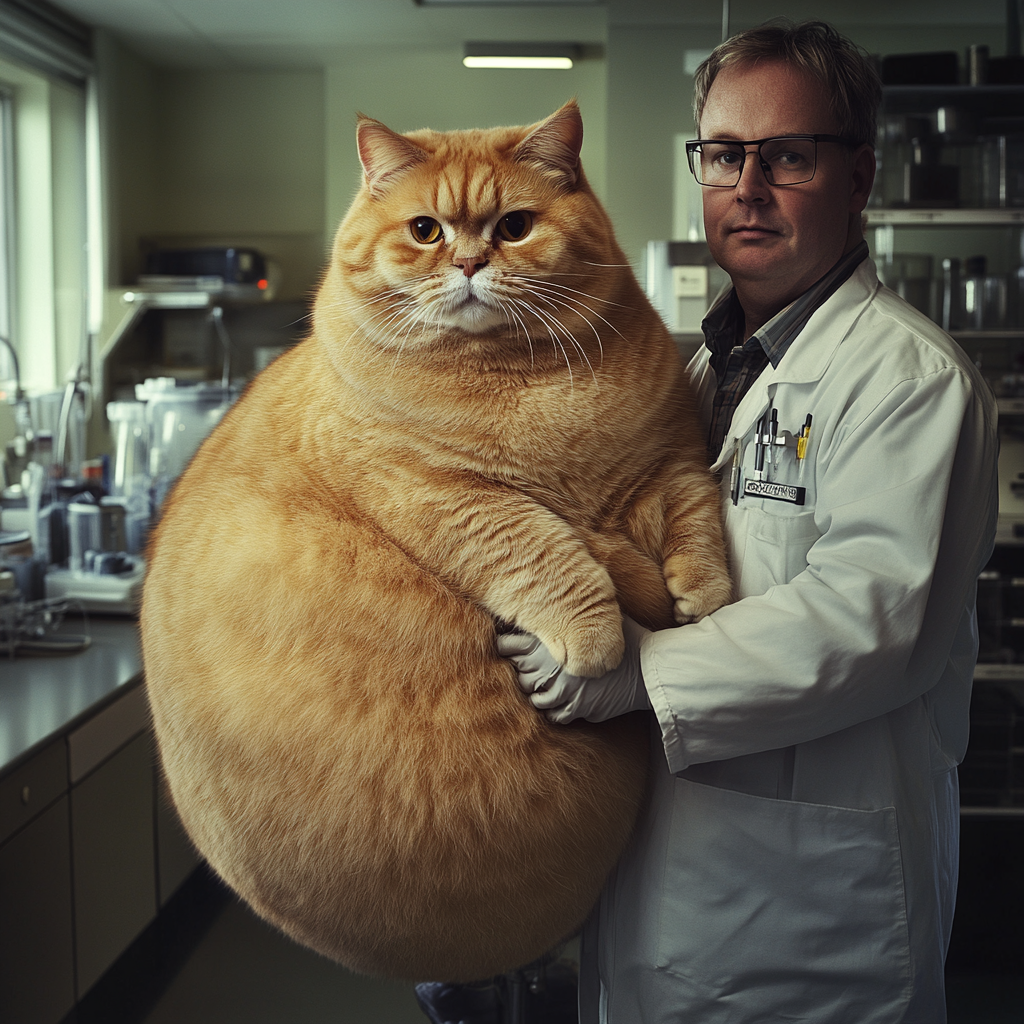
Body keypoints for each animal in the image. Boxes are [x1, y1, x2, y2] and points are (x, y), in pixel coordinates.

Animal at [140, 101, 733, 983]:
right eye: (425, 230)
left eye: (515, 225)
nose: (468, 261)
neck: (516, 382)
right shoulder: (445, 496)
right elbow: (545, 549)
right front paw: (597, 642)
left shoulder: (668, 455)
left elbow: (693, 510)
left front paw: (706, 591)